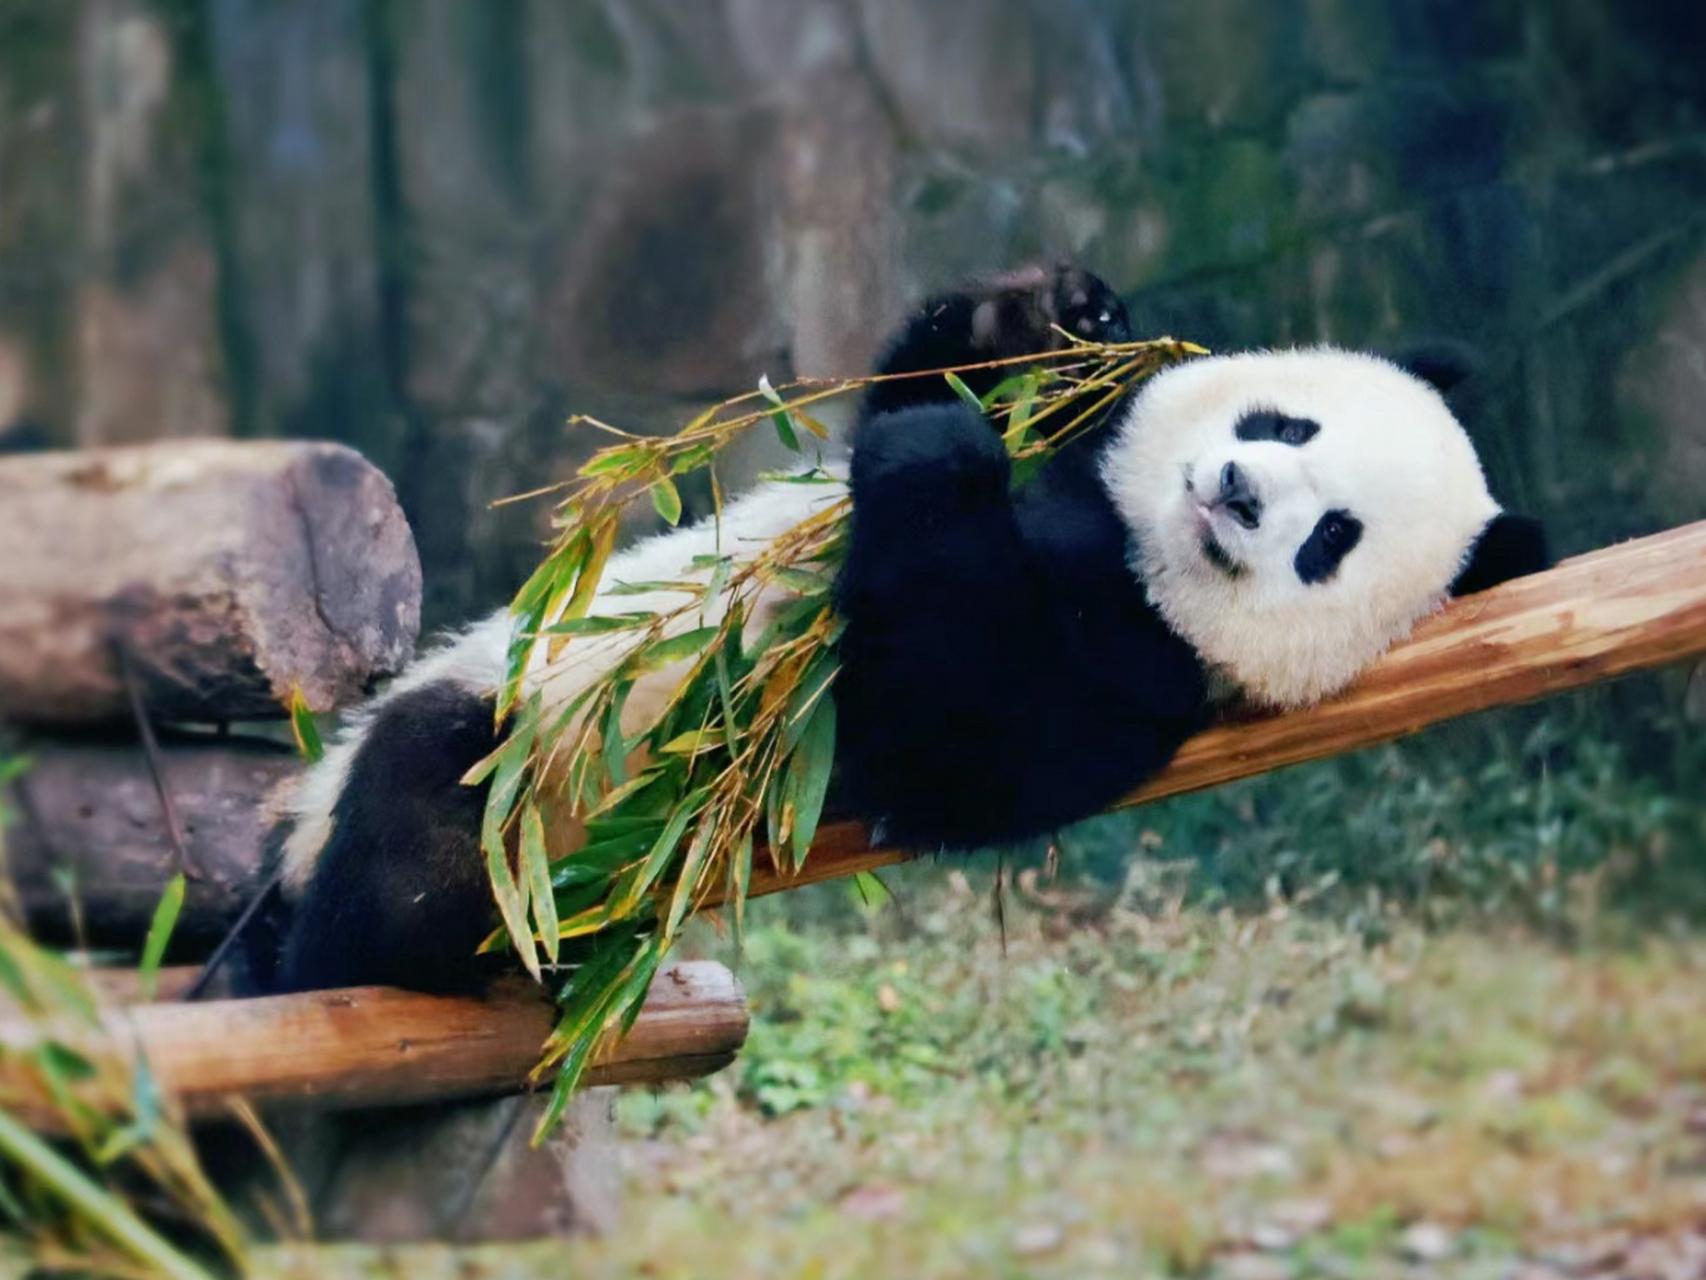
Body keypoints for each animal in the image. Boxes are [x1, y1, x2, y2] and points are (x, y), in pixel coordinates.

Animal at [242, 265, 1546, 995]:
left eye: (1330, 539)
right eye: (1284, 423)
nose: (1230, 491)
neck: (1130, 538)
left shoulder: (1133, 686)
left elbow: (945, 720)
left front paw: (944, 464)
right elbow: (929, 387)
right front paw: (1053, 316)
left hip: (518, 806)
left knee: (419, 858)